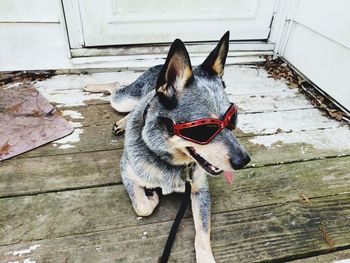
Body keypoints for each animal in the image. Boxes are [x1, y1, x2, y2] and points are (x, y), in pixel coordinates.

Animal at [84, 32, 249, 262]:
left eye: (233, 118)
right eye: (204, 129)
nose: (244, 160)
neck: (171, 161)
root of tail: (159, 64)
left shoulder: (200, 190)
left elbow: (202, 233)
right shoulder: (126, 170)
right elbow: (142, 207)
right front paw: (151, 197)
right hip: (123, 100)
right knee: (117, 87)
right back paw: (94, 89)